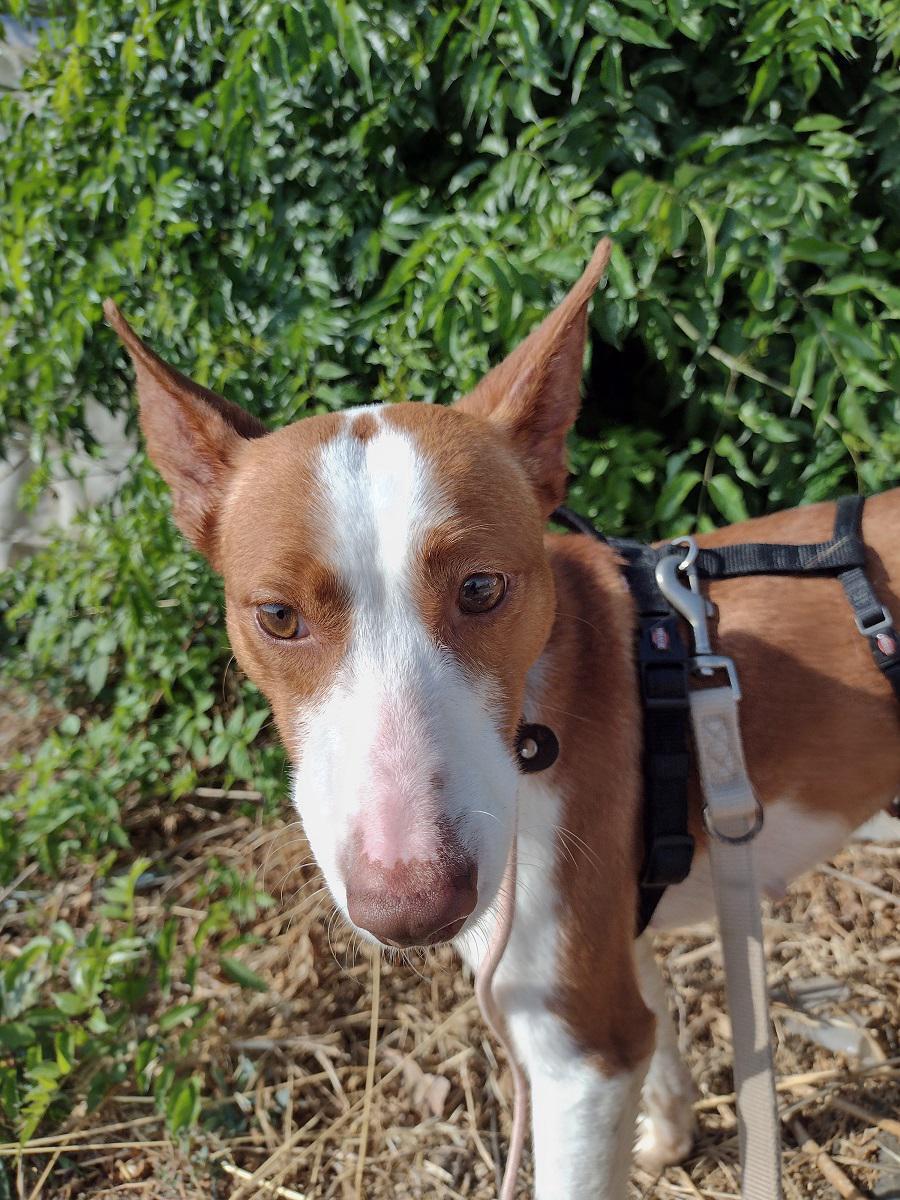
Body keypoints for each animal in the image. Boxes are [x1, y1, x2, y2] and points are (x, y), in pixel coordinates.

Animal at [105, 238, 899, 1199]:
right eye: (279, 617)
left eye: (482, 588)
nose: (410, 909)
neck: (537, 720)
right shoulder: (608, 961)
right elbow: (660, 1034)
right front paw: (670, 1137)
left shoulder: (578, 1054)